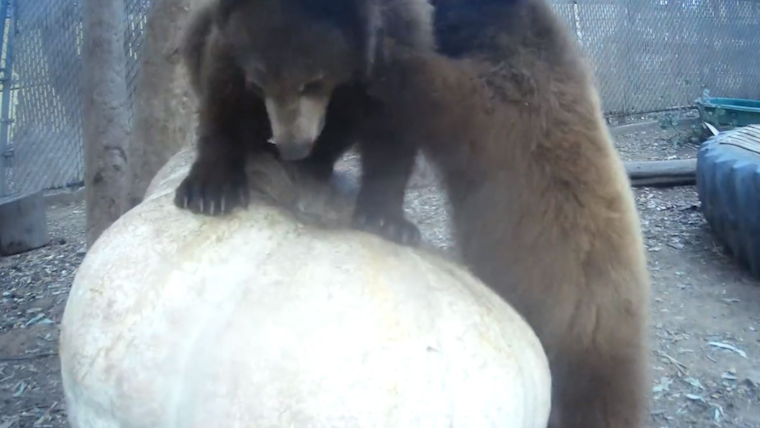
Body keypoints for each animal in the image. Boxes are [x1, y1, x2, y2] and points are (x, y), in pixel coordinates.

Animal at [174, 0, 435, 244]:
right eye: (258, 86)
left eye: (312, 82)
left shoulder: (396, 39)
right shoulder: (228, 42)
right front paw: (209, 192)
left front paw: (387, 221)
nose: (293, 150)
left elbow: (393, 124)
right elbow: (224, 94)